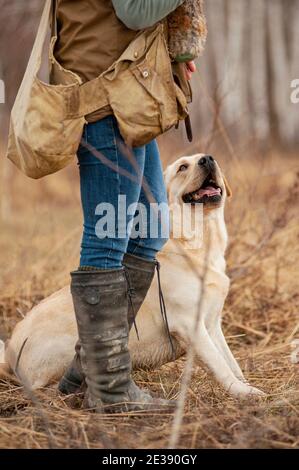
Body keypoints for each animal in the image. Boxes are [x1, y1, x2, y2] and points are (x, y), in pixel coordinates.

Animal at [0, 154, 264, 396]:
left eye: (210, 158)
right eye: (182, 167)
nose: (207, 160)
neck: (197, 242)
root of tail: (10, 354)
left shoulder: (212, 323)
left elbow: (231, 361)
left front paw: (246, 384)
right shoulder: (191, 326)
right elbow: (221, 365)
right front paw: (244, 392)